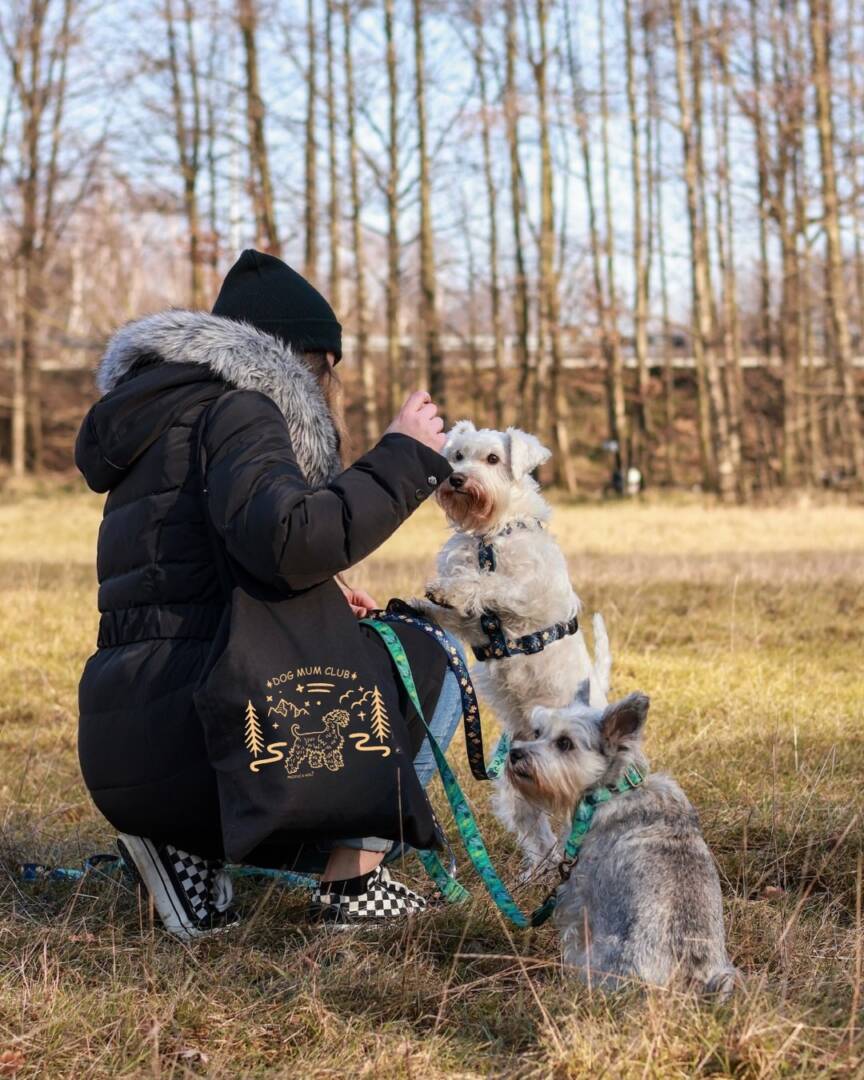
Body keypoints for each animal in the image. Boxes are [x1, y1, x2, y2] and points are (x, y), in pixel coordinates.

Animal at [414, 420, 610, 872]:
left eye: (492, 458)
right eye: (457, 456)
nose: (457, 479)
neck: (490, 536)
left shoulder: (526, 590)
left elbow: (488, 584)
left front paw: (450, 590)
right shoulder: (474, 627)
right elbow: (458, 614)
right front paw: (421, 606)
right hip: (514, 783)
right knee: (537, 831)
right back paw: (537, 872)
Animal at [507, 683, 738, 996]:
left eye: (565, 743)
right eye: (537, 732)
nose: (514, 753)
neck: (613, 789)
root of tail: (690, 983)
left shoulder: (575, 895)